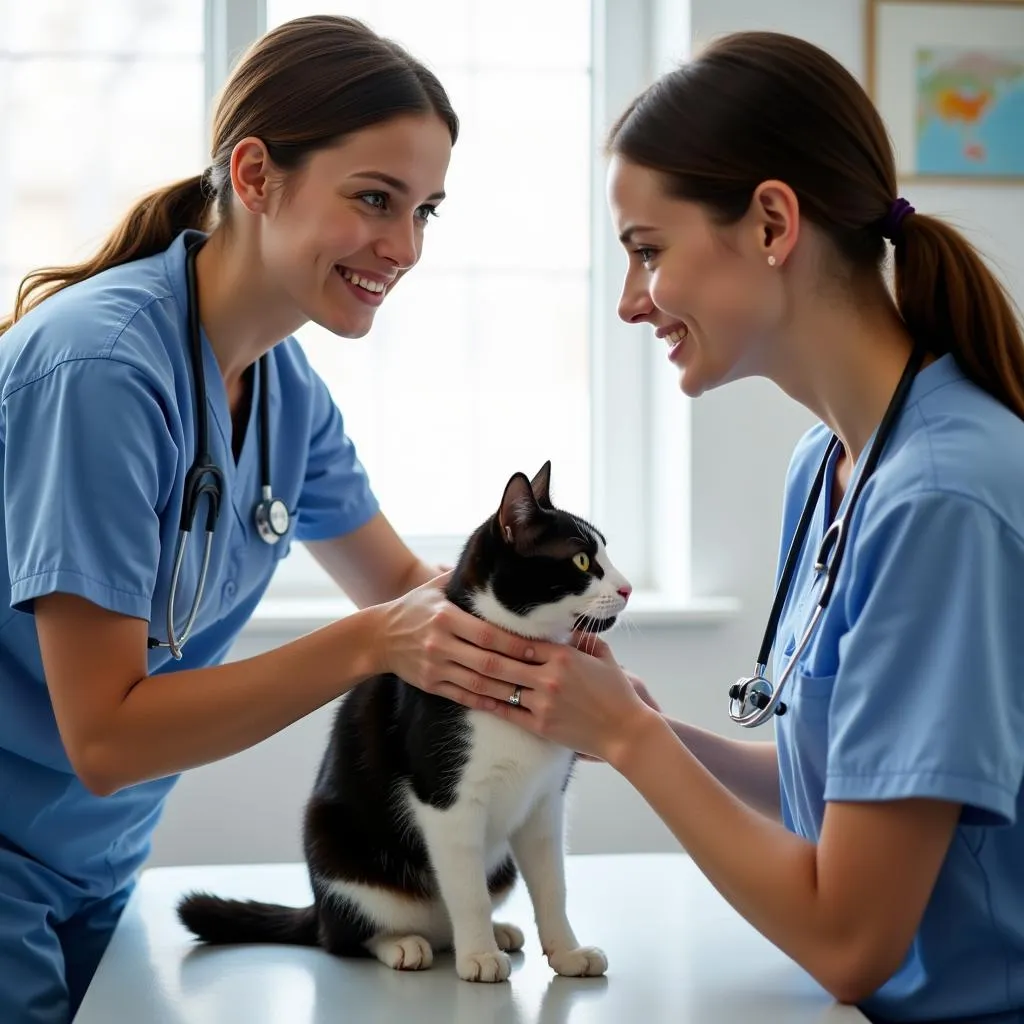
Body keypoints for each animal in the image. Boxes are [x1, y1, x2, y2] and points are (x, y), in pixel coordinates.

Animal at [180, 460, 634, 978]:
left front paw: (567, 952)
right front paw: (479, 957)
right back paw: (407, 944)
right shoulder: (446, 797)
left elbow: (553, 885)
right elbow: (469, 892)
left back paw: (493, 933)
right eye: (580, 561)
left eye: (605, 555)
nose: (626, 588)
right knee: (346, 935)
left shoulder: (545, 802)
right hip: (334, 844)